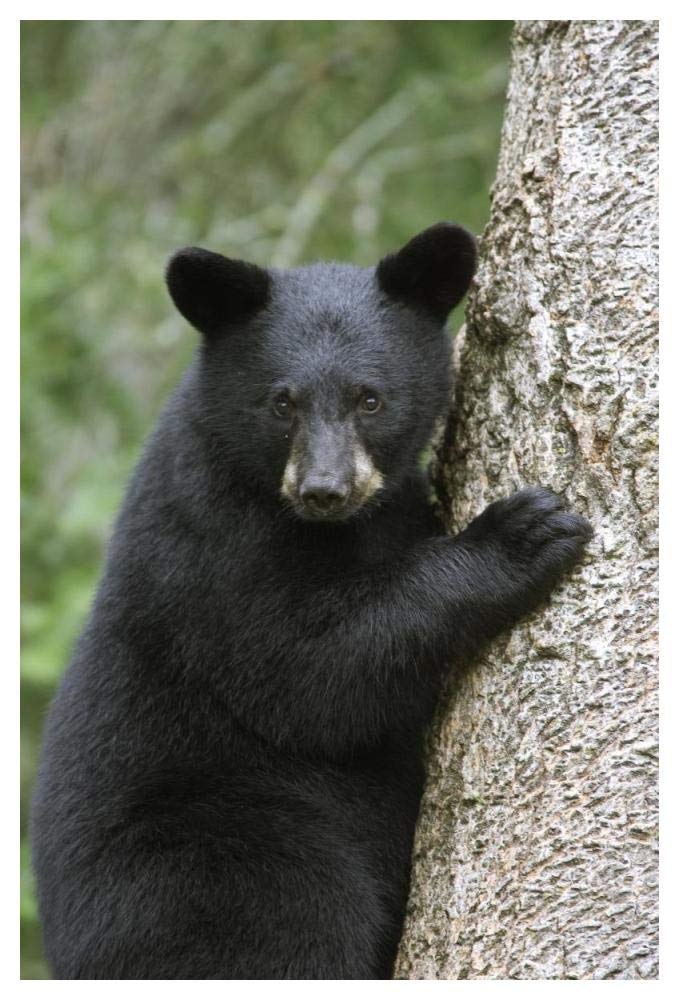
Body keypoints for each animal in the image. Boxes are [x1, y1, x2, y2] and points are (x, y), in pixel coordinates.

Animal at [31, 222, 592, 980]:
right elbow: (307, 675)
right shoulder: (210, 546)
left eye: (369, 398)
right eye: (281, 402)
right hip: (223, 854)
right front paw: (522, 534)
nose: (324, 489)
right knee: (293, 926)